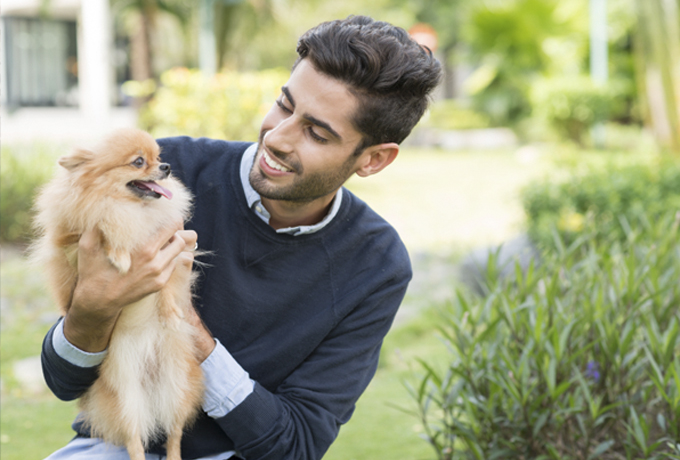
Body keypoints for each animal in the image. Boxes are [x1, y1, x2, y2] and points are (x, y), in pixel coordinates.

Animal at [32, 128, 202, 460]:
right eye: (138, 162)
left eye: (158, 157)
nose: (166, 168)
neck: (132, 207)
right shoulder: (72, 239)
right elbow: (108, 225)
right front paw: (120, 254)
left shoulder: (174, 246)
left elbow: (167, 285)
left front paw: (171, 313)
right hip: (125, 399)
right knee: (135, 440)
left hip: (178, 389)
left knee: (174, 435)